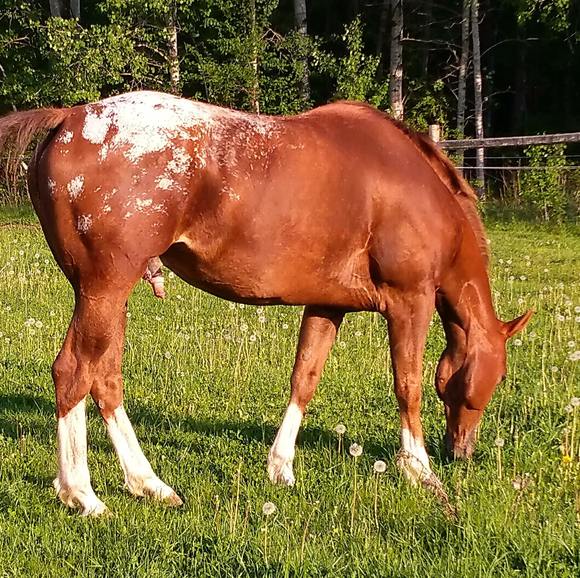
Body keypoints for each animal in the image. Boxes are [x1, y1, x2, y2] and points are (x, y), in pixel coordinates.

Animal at [0, 91, 532, 516]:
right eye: (499, 375)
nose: (462, 452)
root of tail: (69, 118)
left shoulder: (326, 305)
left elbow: (305, 378)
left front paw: (281, 468)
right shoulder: (410, 303)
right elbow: (409, 386)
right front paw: (419, 470)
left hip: (108, 296)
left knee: (105, 379)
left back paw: (148, 484)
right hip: (105, 289)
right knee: (74, 372)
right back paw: (82, 495)